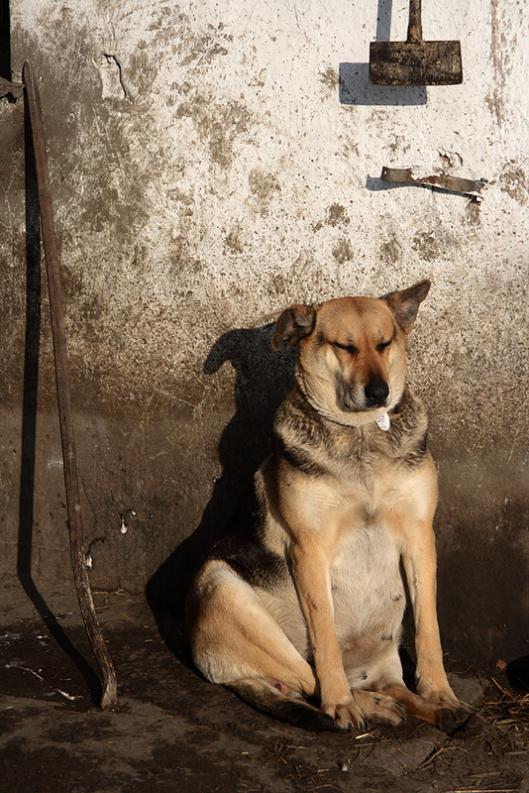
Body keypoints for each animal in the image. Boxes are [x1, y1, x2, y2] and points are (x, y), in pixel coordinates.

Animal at [187, 278, 462, 732]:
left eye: (384, 343)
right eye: (344, 347)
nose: (380, 392)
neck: (362, 434)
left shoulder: (420, 537)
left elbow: (429, 628)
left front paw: (439, 691)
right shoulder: (309, 548)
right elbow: (326, 637)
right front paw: (340, 703)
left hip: (383, 655)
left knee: (389, 686)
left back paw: (421, 707)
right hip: (223, 588)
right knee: (307, 679)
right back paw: (360, 704)